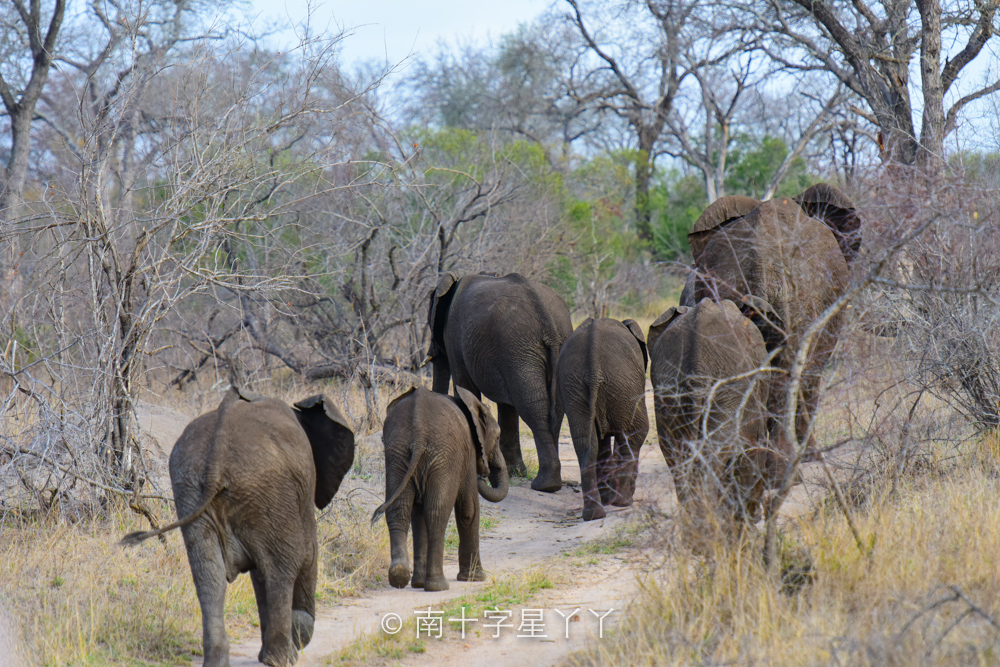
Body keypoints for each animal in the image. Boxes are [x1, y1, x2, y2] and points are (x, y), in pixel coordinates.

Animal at [120, 388, 356, 664]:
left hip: (190, 486)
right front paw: (299, 638)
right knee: (283, 567)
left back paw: (220, 660)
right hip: (267, 487)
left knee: (209, 574)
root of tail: (216, 459)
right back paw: (281, 659)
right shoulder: (298, 494)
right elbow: (307, 555)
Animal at [372, 386, 508, 596]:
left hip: (398, 454)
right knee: (437, 513)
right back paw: (438, 587)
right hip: (444, 456)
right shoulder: (467, 452)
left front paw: (418, 582)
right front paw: (476, 579)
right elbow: (468, 509)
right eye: (498, 437)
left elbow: (418, 514)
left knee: (400, 510)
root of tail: (418, 434)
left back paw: (401, 575)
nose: (483, 476)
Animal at [428, 272, 576, 496]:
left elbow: (466, 388)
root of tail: (548, 321)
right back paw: (550, 481)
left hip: (520, 349)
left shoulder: (455, 338)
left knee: (533, 406)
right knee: (554, 409)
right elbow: (507, 406)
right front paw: (515, 472)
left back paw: (544, 485)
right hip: (536, 349)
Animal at [556, 318, 648, 520]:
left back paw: (595, 513)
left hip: (574, 388)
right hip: (622, 386)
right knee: (635, 434)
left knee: (586, 444)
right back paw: (622, 503)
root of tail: (593, 368)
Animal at [644, 300, 784, 528]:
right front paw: (750, 518)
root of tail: (697, 364)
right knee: (713, 454)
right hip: (730, 388)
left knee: (676, 454)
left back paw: (696, 527)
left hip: (670, 391)